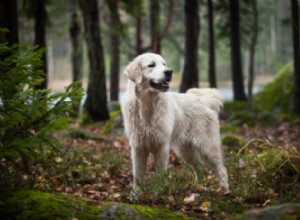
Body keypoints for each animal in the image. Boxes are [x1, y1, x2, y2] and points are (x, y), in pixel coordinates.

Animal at [120, 53, 229, 199]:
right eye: (151, 65)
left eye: (164, 64)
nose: (169, 72)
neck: (147, 106)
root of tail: (203, 101)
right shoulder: (138, 147)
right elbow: (137, 175)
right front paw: (134, 195)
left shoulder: (161, 146)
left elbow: (160, 173)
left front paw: (157, 192)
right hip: (185, 150)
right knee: (200, 168)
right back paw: (197, 187)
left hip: (207, 146)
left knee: (221, 169)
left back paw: (225, 190)